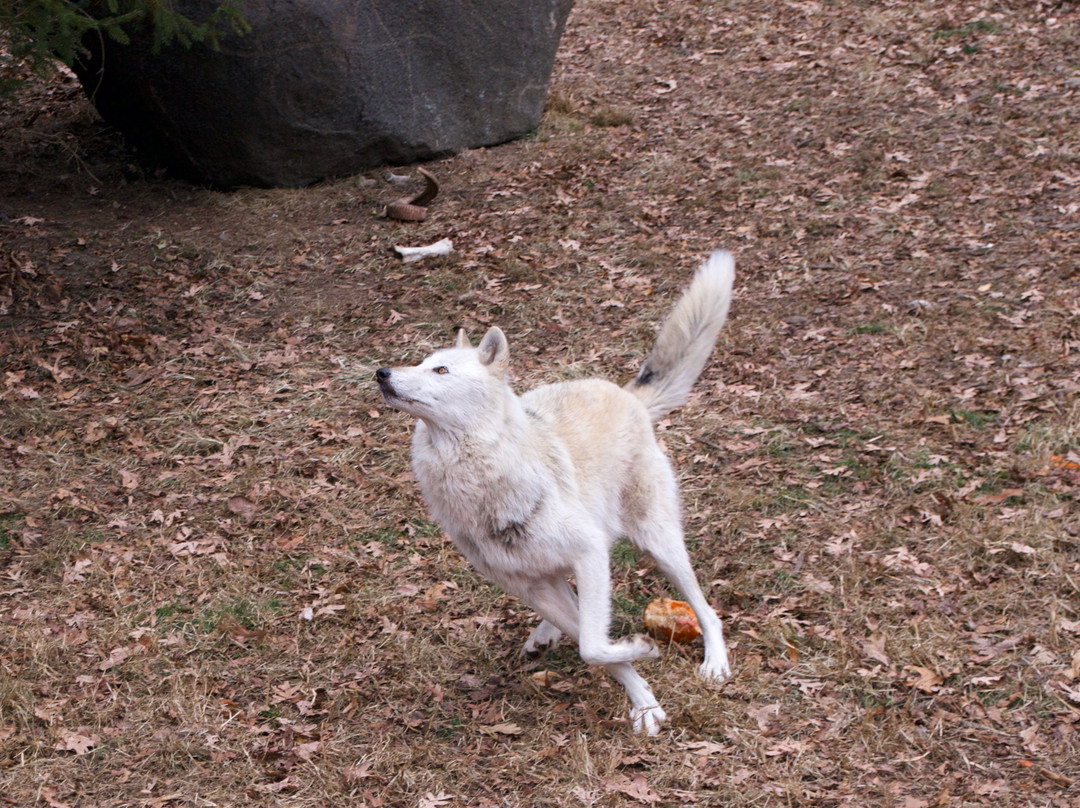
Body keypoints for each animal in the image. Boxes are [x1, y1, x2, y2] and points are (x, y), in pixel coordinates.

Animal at [375, 250, 735, 734]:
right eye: (420, 362)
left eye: (441, 370)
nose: (382, 372)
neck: (481, 482)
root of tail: (628, 394)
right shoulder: (529, 586)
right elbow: (594, 645)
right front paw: (643, 699)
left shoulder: (589, 552)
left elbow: (593, 646)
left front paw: (642, 664)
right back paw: (546, 633)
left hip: (659, 543)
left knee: (705, 608)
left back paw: (715, 662)